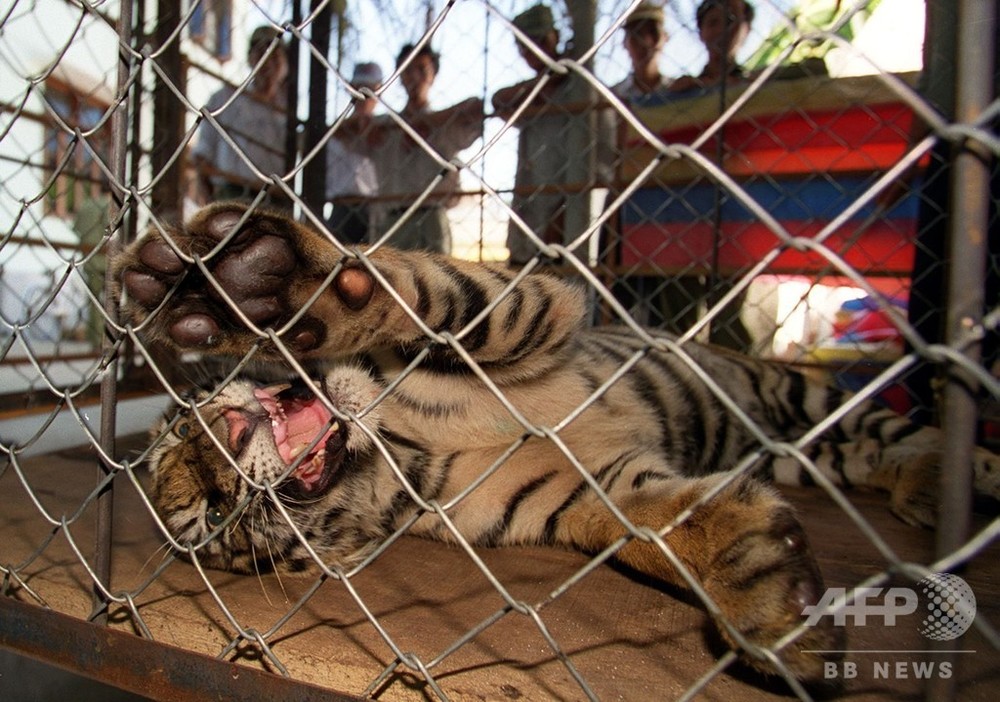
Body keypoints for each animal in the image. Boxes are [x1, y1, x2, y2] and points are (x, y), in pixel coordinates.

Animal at [113, 204, 1000, 688]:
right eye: (215, 522)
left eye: (184, 425)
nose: (220, 447)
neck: (394, 449)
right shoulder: (582, 491)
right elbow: (650, 530)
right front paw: (764, 587)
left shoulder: (529, 306)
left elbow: (426, 294)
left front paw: (252, 281)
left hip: (804, 398)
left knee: (905, 431)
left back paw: (952, 484)